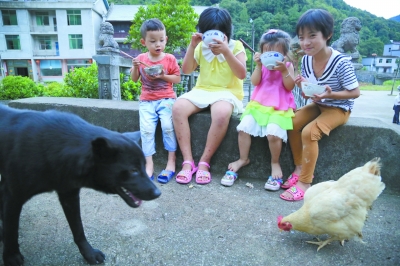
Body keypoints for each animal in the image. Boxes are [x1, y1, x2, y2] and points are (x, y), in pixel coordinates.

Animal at [0, 105, 160, 266]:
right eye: (133, 170)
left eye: (144, 166)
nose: (158, 193)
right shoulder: (13, 197)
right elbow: (12, 230)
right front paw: (11, 256)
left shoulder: (69, 195)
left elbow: (78, 228)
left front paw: (89, 254)